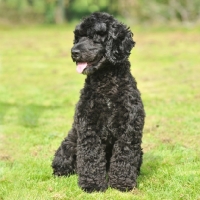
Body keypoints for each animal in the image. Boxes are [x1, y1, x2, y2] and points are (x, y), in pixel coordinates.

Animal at [52, 12, 145, 192]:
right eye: (78, 37)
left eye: (95, 37)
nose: (74, 52)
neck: (106, 84)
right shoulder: (89, 127)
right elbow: (91, 157)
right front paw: (92, 184)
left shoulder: (129, 128)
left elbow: (124, 156)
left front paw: (122, 183)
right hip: (68, 146)